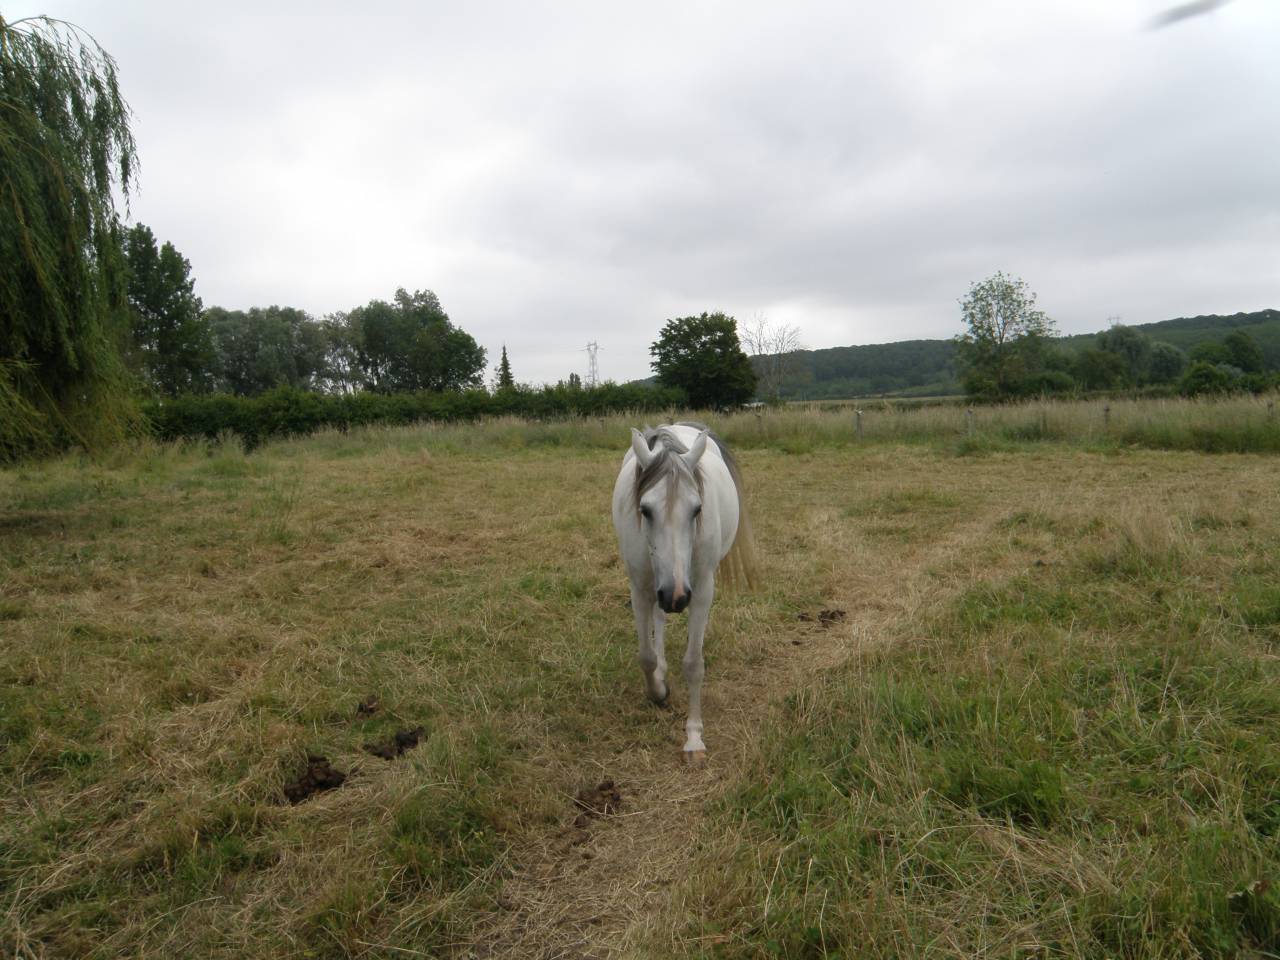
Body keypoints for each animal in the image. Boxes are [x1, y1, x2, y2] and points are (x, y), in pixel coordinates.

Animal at [611, 422, 759, 762]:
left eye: (697, 509)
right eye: (644, 510)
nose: (675, 597)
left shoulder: (701, 590)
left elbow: (693, 665)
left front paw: (693, 737)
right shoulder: (640, 588)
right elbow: (646, 656)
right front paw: (658, 691)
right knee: (658, 620)